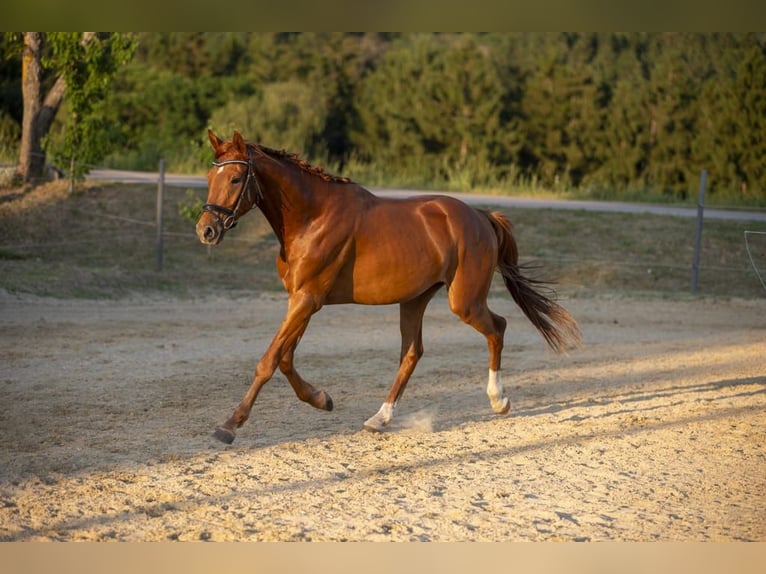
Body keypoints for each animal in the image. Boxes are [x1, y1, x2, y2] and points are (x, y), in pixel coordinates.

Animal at [197, 130, 582, 444]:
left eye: (235, 178)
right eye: (209, 176)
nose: (206, 230)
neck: (312, 217)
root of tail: (481, 217)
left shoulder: (307, 300)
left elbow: (269, 360)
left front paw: (228, 426)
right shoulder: (302, 300)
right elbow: (286, 359)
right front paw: (322, 399)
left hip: (464, 301)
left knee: (496, 328)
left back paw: (499, 400)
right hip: (415, 299)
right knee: (412, 353)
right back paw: (379, 418)